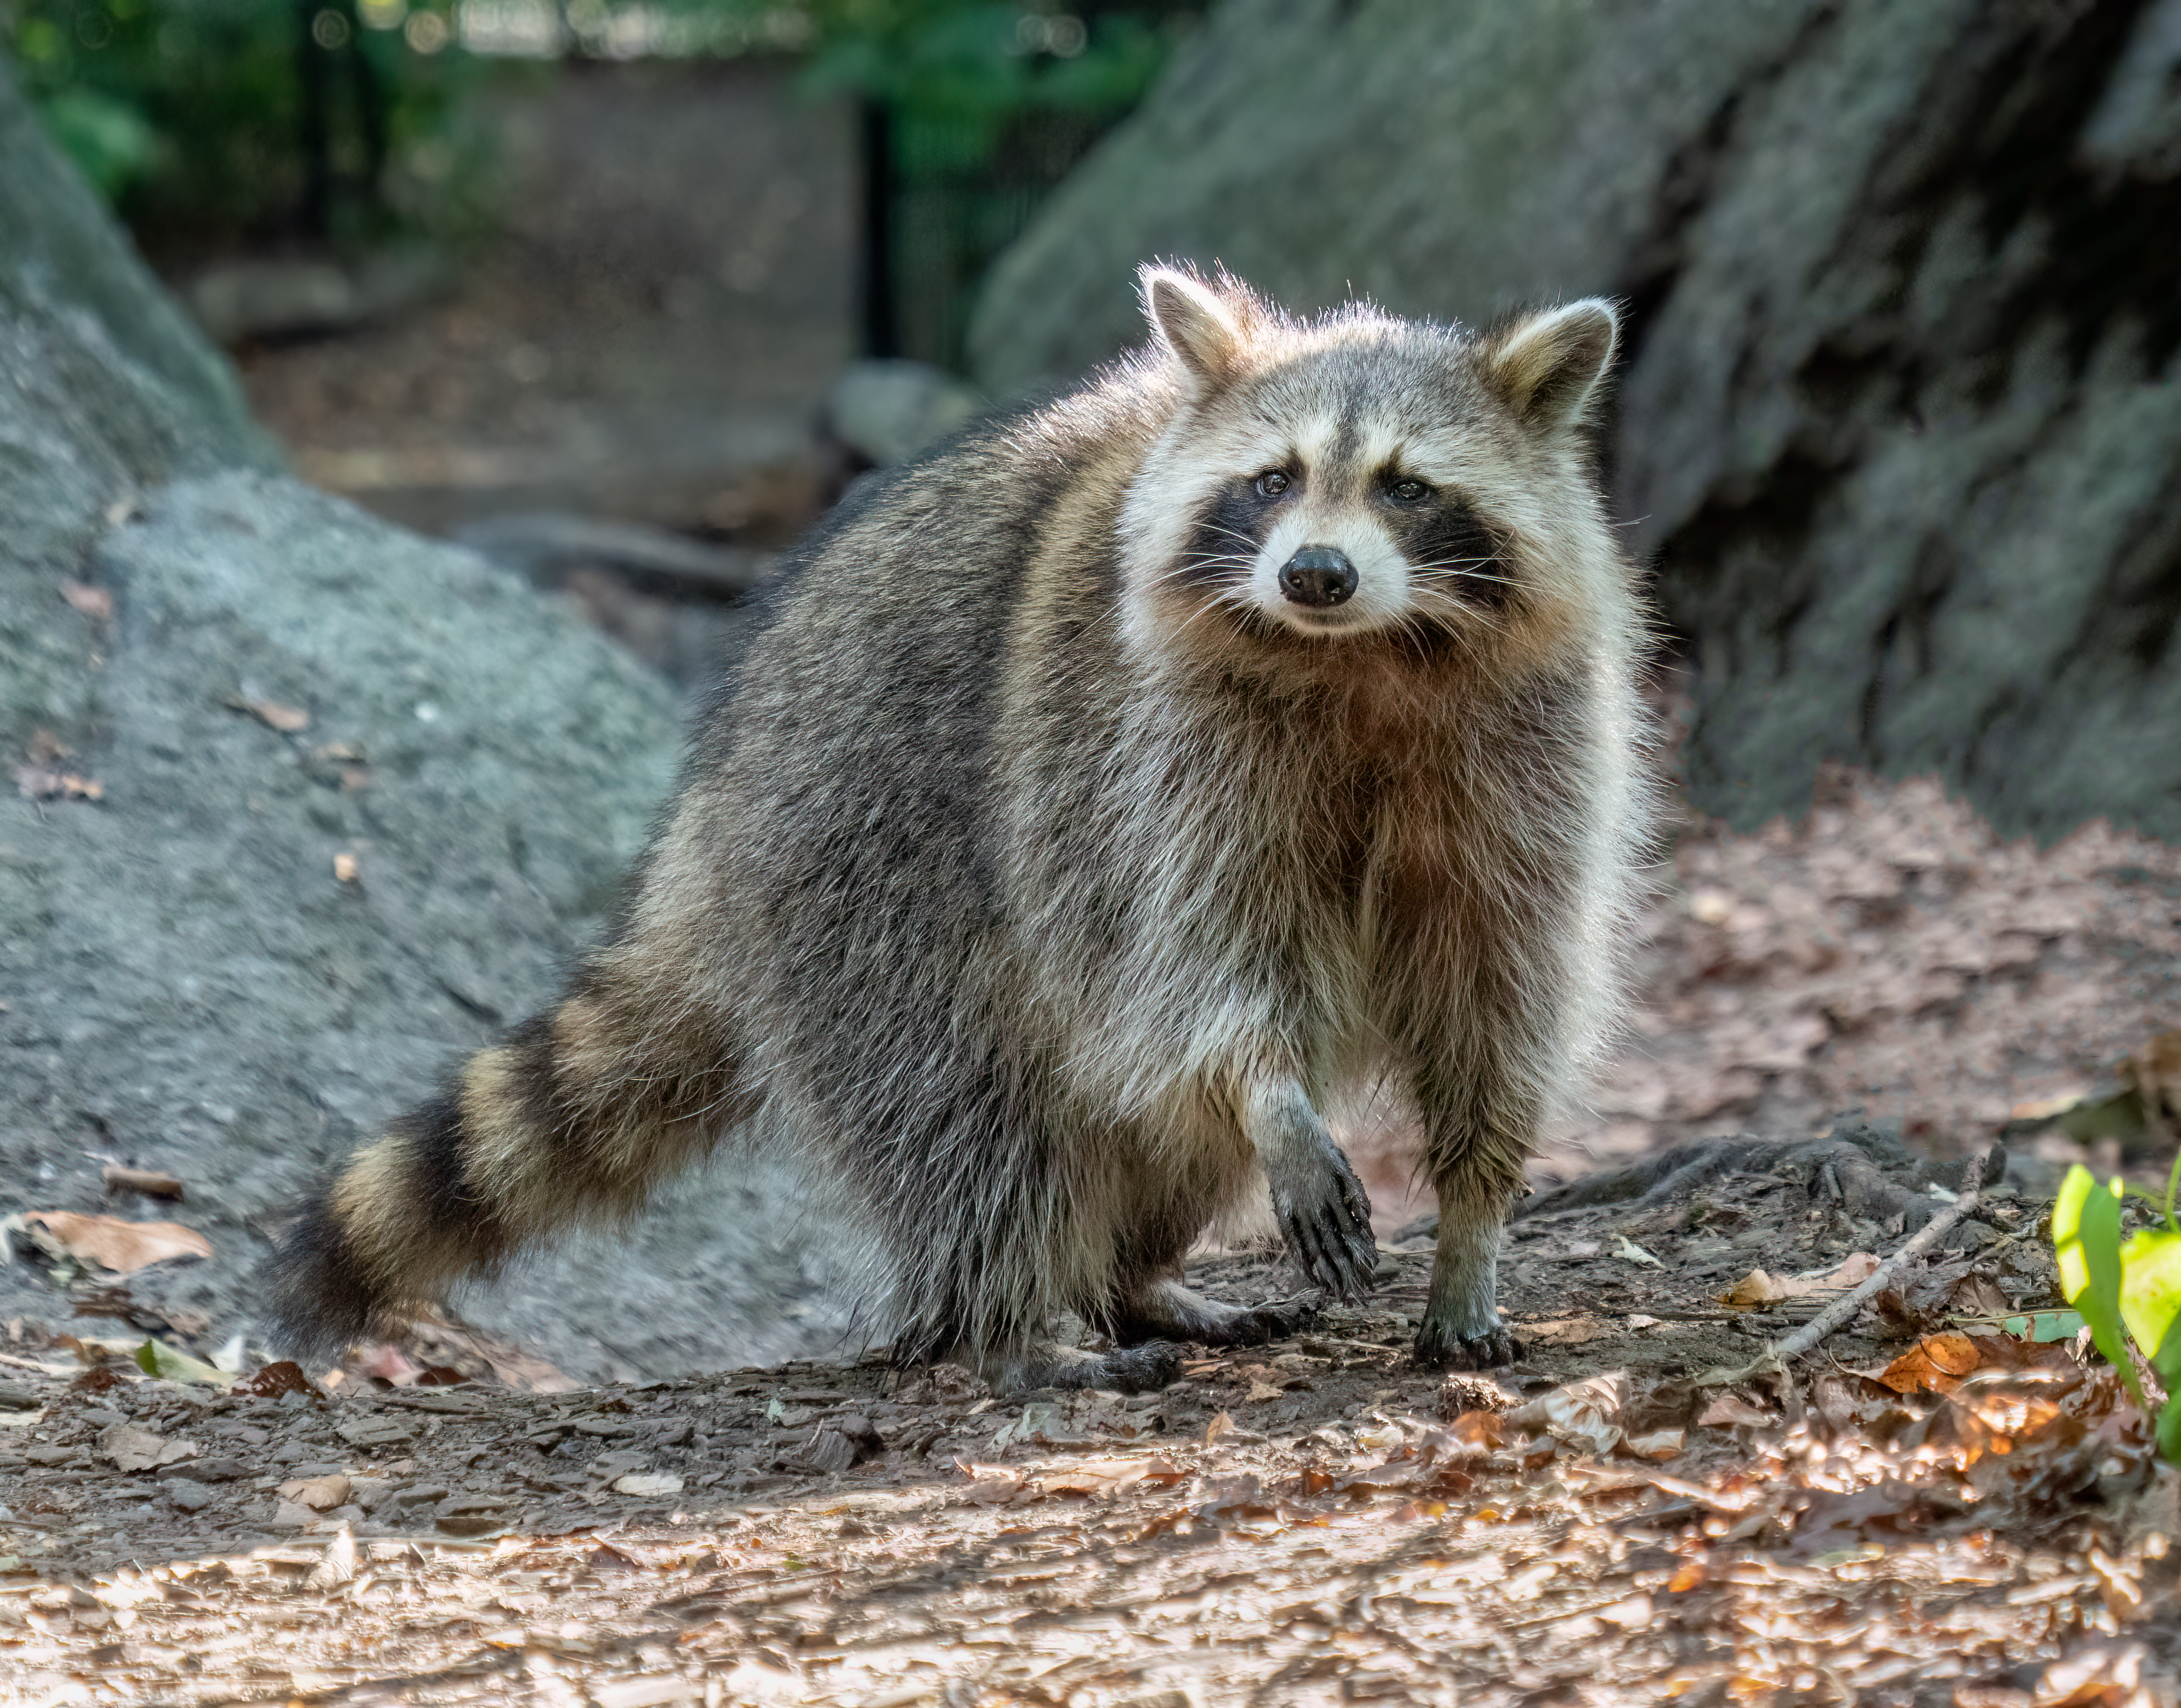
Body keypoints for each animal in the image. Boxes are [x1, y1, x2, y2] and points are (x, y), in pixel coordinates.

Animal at [264, 264, 1640, 1387]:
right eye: (1272, 480)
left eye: (1408, 487)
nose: (1314, 573)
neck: (1362, 656)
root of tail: (708, 814)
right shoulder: (1144, 754)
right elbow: (1200, 961)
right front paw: (1273, 1096)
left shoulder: (1527, 754)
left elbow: (1498, 984)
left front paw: (1473, 1218)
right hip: (863, 868)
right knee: (971, 1109)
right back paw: (1009, 1320)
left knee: (1148, 1127)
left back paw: (1133, 1277)